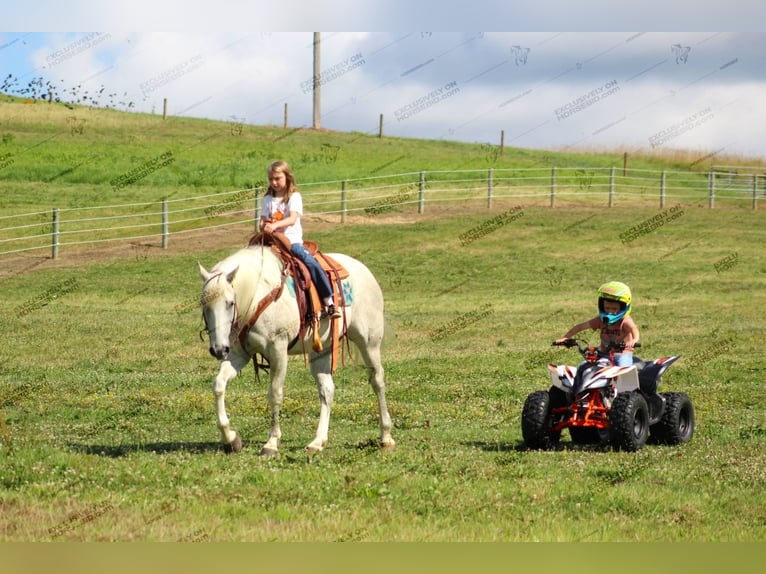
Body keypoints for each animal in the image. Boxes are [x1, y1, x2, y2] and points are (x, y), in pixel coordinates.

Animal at [198, 245, 396, 456]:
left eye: (230, 303)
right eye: (204, 304)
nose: (218, 349)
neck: (256, 296)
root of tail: (363, 270)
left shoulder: (278, 350)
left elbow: (275, 394)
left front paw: (271, 443)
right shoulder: (238, 354)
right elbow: (219, 385)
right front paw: (230, 439)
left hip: (369, 343)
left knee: (377, 381)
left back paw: (386, 437)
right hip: (321, 350)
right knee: (327, 390)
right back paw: (318, 441)